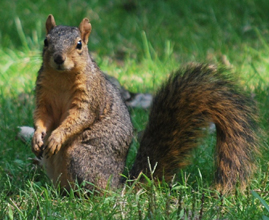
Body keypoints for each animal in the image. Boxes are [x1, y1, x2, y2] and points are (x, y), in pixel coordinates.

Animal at [31, 14, 260, 193]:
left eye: (79, 44)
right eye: (45, 41)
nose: (58, 59)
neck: (62, 78)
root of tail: (117, 185)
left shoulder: (91, 95)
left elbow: (80, 116)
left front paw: (56, 137)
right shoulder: (43, 94)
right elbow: (42, 116)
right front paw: (37, 136)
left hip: (81, 156)